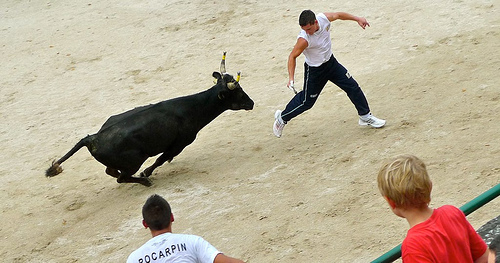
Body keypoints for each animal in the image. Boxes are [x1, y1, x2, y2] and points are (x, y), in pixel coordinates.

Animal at [46, 57, 254, 187]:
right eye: (237, 92)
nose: (251, 103)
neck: (192, 107)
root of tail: (93, 138)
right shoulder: (179, 144)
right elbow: (160, 159)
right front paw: (147, 173)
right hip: (134, 161)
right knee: (120, 177)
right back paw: (144, 181)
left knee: (112, 172)